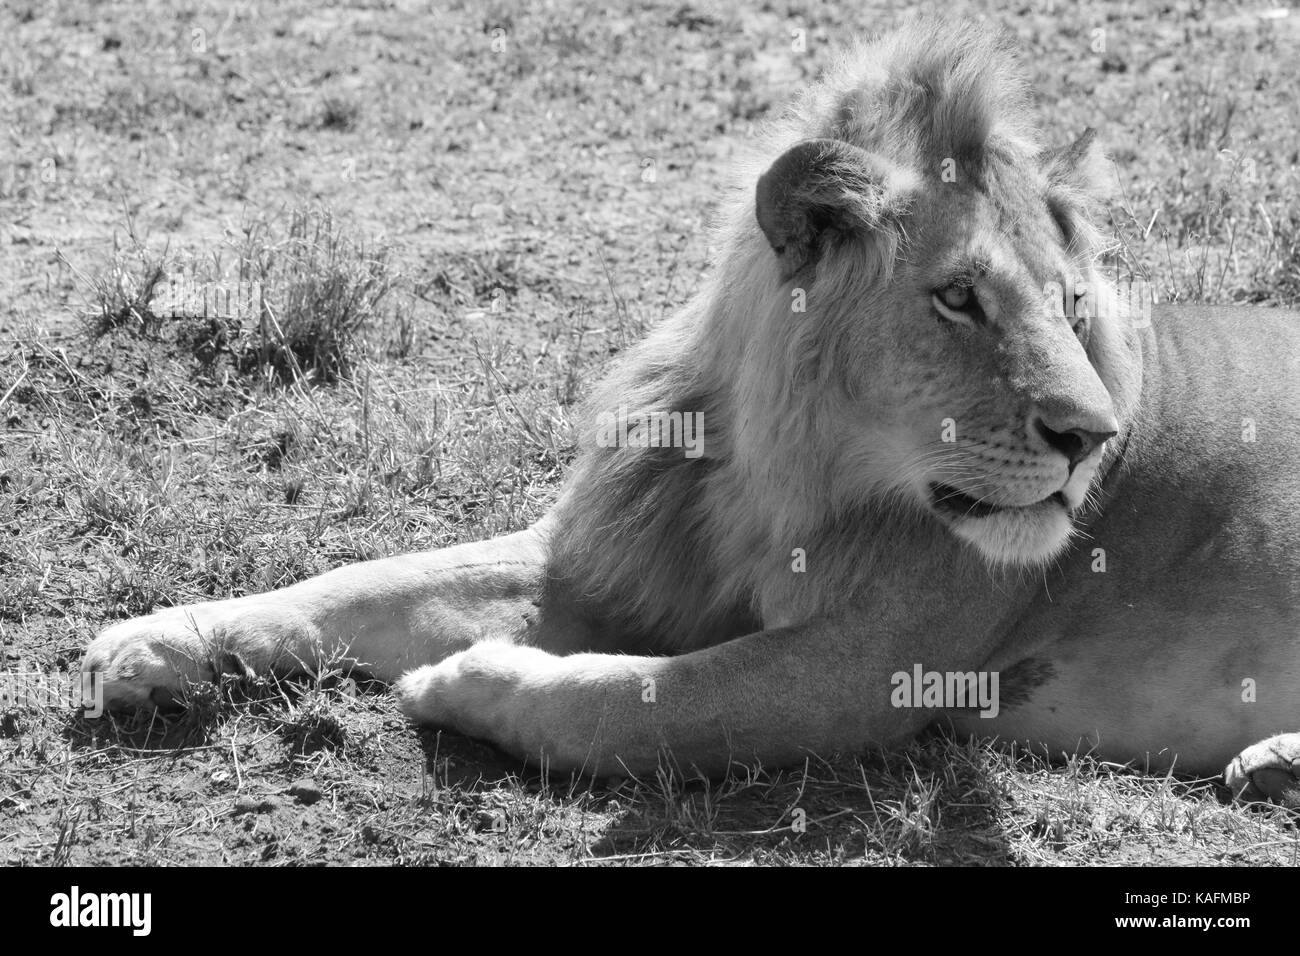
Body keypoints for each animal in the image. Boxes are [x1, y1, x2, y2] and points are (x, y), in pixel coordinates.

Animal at [82, 19, 1300, 805]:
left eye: (1074, 303)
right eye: (959, 298)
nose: (1091, 439)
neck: (768, 472)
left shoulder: (872, 668)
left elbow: (641, 704)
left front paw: (472, 679)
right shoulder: (601, 557)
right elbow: (362, 579)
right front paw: (156, 639)